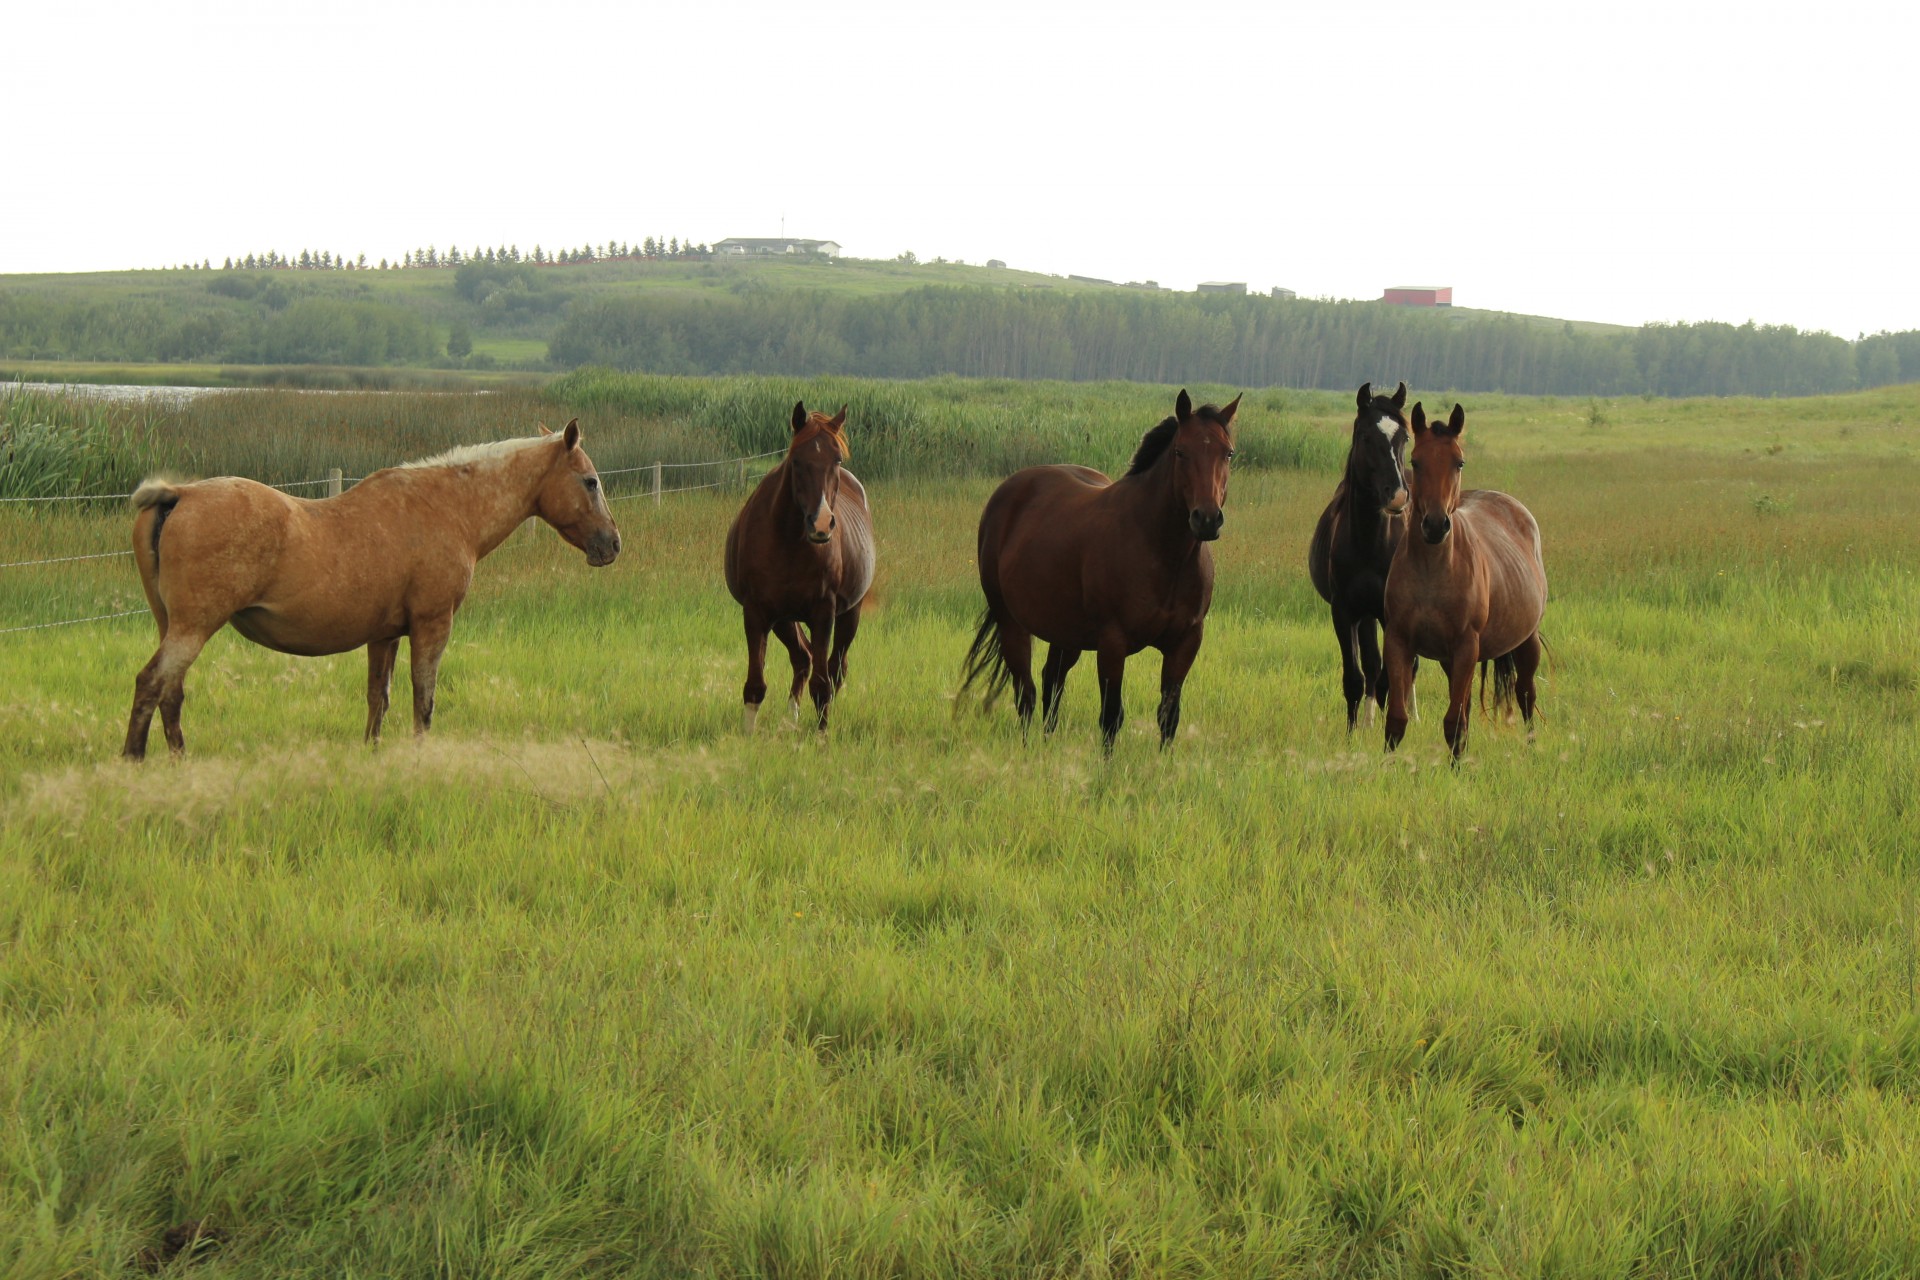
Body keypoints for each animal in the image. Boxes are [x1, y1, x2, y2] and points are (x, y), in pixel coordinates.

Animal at [125, 420, 622, 759]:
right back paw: (135, 760)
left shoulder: (383, 636)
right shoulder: (431, 626)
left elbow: (376, 701)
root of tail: (179, 495)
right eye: (590, 481)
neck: (450, 507)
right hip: (193, 628)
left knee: (171, 693)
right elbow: (423, 700)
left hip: (173, 626)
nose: (612, 544)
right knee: (152, 684)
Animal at [721, 404, 875, 736]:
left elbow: (822, 684)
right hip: (784, 619)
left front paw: (821, 737)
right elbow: (755, 684)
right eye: (796, 461)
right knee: (802, 657)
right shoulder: (756, 612)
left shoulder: (823, 613)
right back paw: (791, 717)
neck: (788, 540)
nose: (821, 523)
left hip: (849, 615)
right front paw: (747, 737)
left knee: (834, 669)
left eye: (837, 459)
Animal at [960, 387, 1244, 752]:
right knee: (1027, 694)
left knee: (1052, 683)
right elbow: (1111, 717)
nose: (1207, 519)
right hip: (1012, 623)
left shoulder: (1186, 641)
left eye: (1228, 453)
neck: (1162, 553)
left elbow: (1169, 716)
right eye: (1181, 452)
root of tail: (1009, 491)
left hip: (1066, 633)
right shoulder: (1112, 642)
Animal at [1313, 379, 1420, 729]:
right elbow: (1356, 678)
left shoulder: (1392, 613)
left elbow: (1392, 675)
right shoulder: (1345, 611)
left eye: (1404, 437)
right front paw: (1353, 731)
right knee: (1373, 665)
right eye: (1366, 437)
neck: (1370, 544)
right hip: (1367, 614)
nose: (1397, 495)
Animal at [1382, 404, 1543, 756]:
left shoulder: (1467, 646)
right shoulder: (1399, 641)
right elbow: (1397, 721)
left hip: (1526, 640)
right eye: (1415, 461)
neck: (1433, 572)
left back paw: (1531, 748)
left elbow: (1454, 724)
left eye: (1459, 462)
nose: (1435, 525)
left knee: (1526, 693)